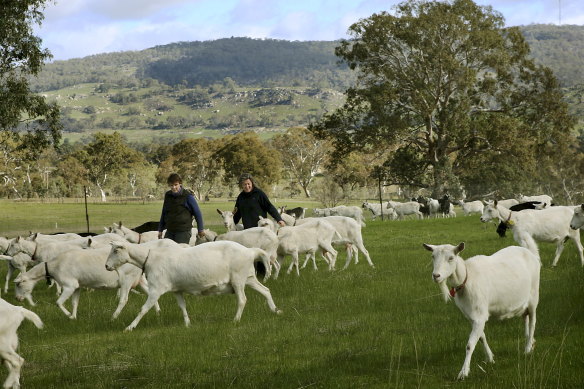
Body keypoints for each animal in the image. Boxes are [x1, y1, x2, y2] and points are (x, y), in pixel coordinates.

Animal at [106, 239, 282, 330]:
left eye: (116, 250)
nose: (107, 266)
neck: (149, 257)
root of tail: (250, 251)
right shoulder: (177, 289)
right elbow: (182, 306)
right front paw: (187, 324)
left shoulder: (157, 289)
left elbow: (143, 309)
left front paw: (130, 327)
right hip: (249, 277)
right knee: (266, 290)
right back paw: (275, 310)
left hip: (238, 278)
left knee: (242, 300)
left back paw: (236, 320)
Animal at [422, 242, 540, 378]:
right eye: (433, 256)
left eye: (451, 258)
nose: (436, 276)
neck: (467, 278)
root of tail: (531, 254)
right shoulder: (471, 316)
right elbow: (481, 337)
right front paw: (490, 358)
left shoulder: (480, 315)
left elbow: (469, 345)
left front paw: (463, 373)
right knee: (526, 318)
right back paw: (530, 343)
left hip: (534, 296)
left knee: (533, 322)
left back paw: (528, 349)